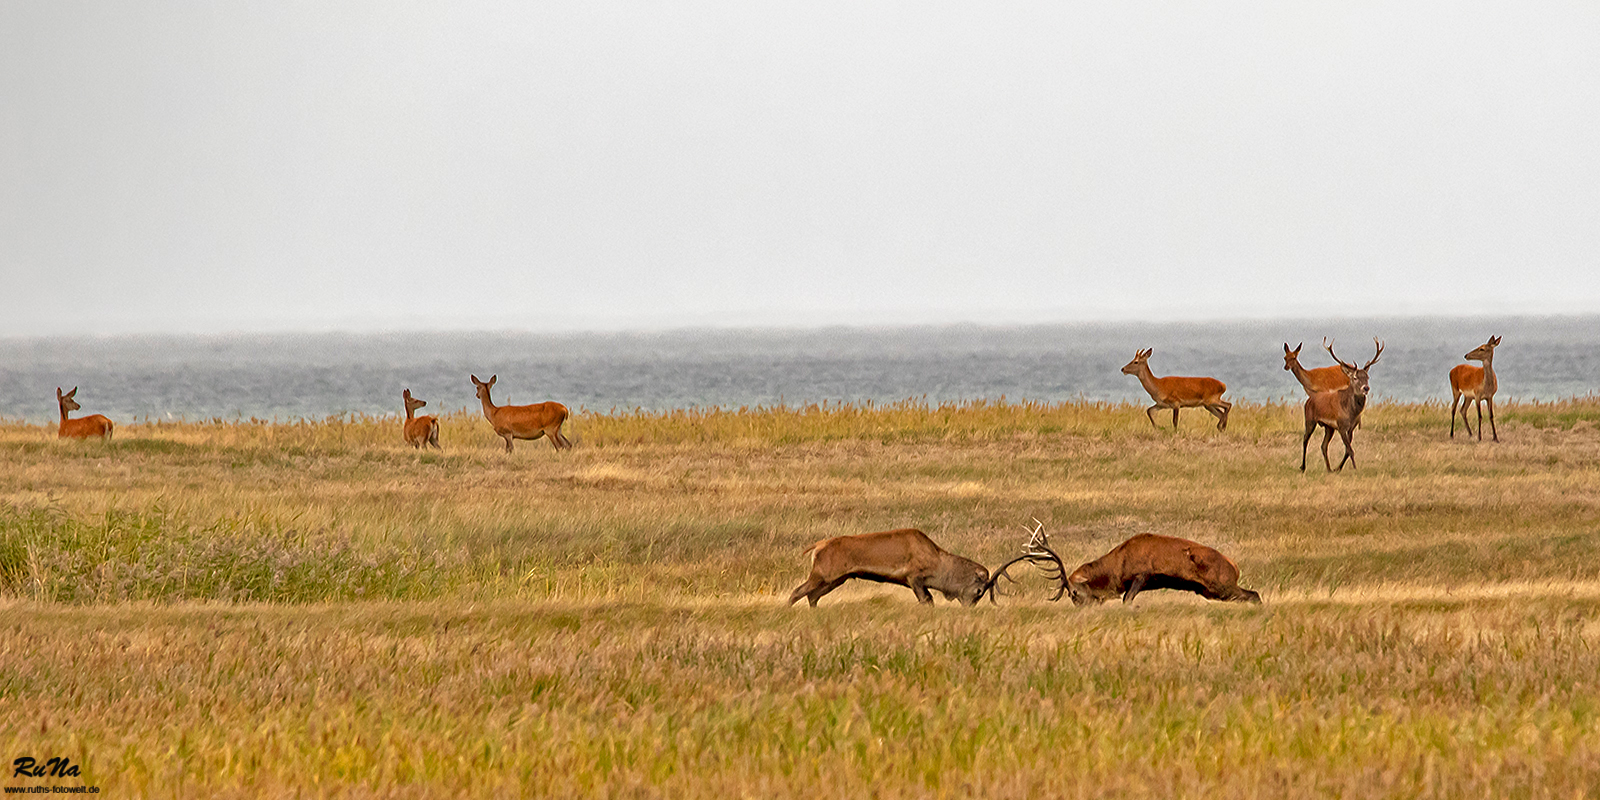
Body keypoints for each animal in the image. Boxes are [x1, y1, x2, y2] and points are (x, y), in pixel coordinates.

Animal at [784, 531, 992, 604]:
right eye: (979, 590)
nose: (969, 607)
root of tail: (818, 546)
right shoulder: (914, 578)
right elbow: (926, 600)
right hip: (821, 575)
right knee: (797, 592)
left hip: (836, 580)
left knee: (812, 596)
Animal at [1292, 336, 1382, 470]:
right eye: (1355, 377)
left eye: (1367, 376)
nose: (1366, 388)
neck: (1351, 413)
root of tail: (1309, 399)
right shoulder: (1341, 425)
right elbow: (1350, 450)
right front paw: (1355, 468)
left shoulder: (1351, 428)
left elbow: (1347, 450)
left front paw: (1338, 468)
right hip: (1310, 419)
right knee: (1305, 439)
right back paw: (1303, 467)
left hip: (1329, 427)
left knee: (1323, 445)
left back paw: (1329, 469)